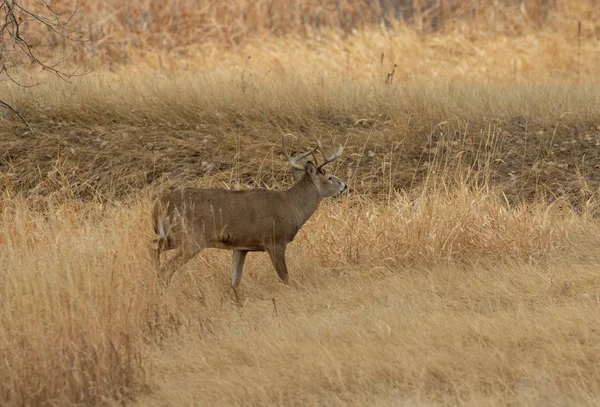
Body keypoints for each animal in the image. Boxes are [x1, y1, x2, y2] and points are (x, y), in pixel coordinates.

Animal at [150, 135, 346, 294]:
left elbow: (235, 281)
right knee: (166, 267)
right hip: (192, 236)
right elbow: (285, 277)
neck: (293, 206)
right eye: (329, 177)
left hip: (174, 235)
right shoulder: (275, 240)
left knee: (152, 246)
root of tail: (159, 204)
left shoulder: (241, 246)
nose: (344, 185)